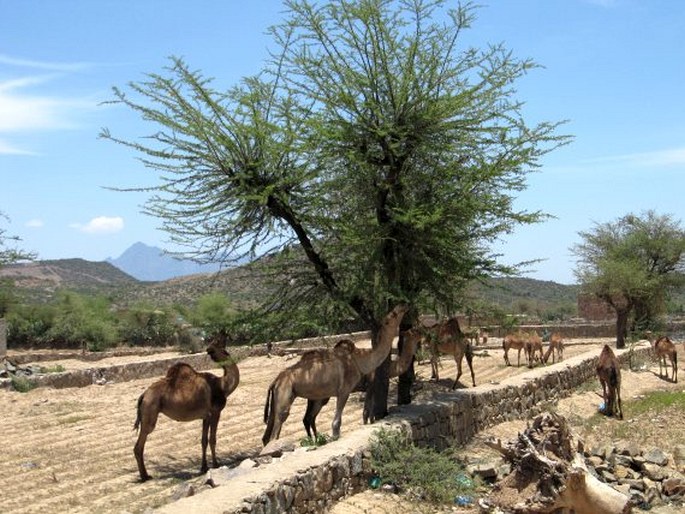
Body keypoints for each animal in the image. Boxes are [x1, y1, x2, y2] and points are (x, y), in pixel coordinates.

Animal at [134, 336, 240, 480]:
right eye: (221, 347)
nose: (210, 349)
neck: (222, 385)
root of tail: (144, 395)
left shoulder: (205, 416)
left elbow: (204, 441)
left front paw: (204, 467)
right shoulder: (215, 412)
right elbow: (212, 439)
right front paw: (216, 464)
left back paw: (145, 475)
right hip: (150, 411)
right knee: (140, 444)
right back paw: (145, 476)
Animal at [260, 302, 406, 442]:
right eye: (391, 316)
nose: (403, 305)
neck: (358, 360)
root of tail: (275, 381)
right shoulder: (344, 390)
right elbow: (336, 423)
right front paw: (334, 437)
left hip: (278, 399)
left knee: (267, 434)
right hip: (285, 395)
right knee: (277, 428)